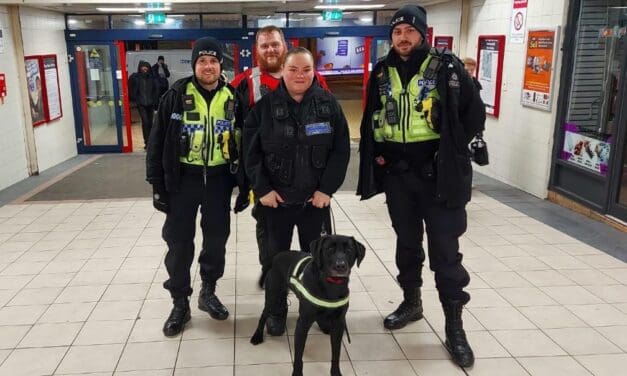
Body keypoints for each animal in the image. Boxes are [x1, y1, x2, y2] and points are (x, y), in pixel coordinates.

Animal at [251, 235, 368, 376]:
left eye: (349, 250)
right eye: (329, 249)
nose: (340, 266)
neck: (331, 285)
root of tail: (277, 256)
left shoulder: (338, 324)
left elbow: (336, 354)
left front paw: (335, 372)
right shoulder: (303, 324)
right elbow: (298, 356)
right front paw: (297, 373)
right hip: (272, 296)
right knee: (263, 316)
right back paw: (257, 336)